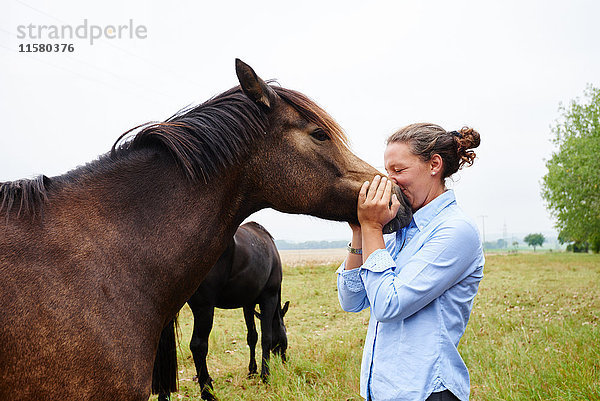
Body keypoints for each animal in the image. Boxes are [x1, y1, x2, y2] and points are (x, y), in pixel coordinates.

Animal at [154, 220, 288, 398]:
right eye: (285, 335)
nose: (285, 361)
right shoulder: (269, 298)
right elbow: (267, 337)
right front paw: (265, 375)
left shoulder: (248, 304)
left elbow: (252, 336)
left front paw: (252, 370)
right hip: (204, 308)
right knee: (198, 346)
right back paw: (207, 391)